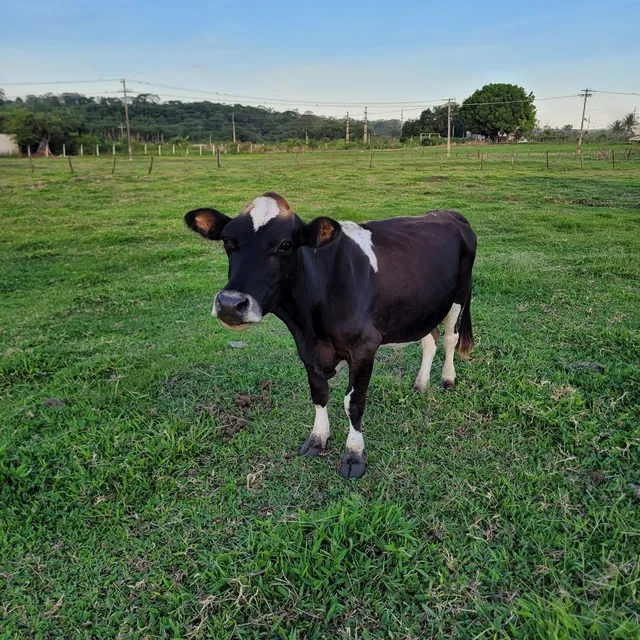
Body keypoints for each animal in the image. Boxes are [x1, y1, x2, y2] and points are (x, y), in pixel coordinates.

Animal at [184, 192, 477, 479]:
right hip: (423, 306)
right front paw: (317, 439)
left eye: (285, 245)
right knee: (430, 339)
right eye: (227, 241)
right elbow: (319, 394)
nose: (230, 303)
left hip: (459, 296)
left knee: (450, 337)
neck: (309, 321)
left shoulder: (364, 347)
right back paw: (420, 384)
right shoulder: (306, 349)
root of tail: (448, 213)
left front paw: (354, 455)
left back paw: (447, 378)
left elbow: (353, 403)